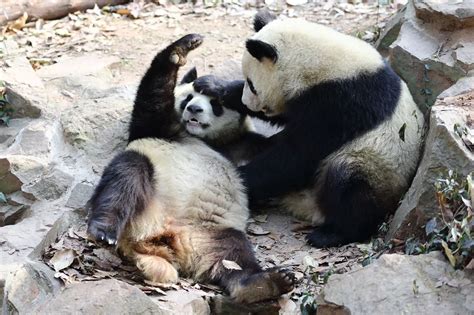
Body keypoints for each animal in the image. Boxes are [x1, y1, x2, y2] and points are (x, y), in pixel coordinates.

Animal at [85, 34, 292, 304]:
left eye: (215, 104)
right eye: (188, 98)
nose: (194, 109)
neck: (208, 140)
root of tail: (165, 237)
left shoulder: (244, 146)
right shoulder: (161, 129)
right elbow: (151, 103)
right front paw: (182, 48)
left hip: (211, 232)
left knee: (234, 254)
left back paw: (264, 283)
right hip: (146, 202)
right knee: (128, 173)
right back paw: (103, 229)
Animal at [193, 11, 426, 249]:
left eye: (253, 85)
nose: (247, 103)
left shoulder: (341, 102)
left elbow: (298, 154)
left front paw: (238, 177)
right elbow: (284, 121)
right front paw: (212, 85)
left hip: (377, 167)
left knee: (349, 181)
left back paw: (332, 234)